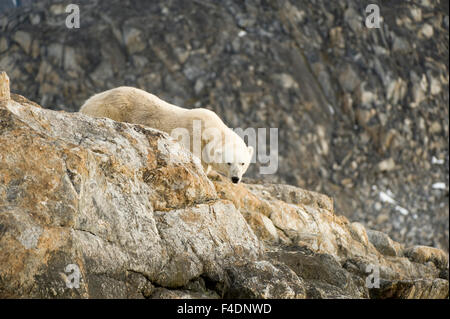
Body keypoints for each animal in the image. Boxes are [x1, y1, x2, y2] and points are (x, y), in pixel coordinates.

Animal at [80, 87, 253, 185]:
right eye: (229, 163)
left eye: (243, 163)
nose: (235, 179)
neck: (210, 129)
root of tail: (88, 102)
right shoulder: (193, 139)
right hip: (110, 109)